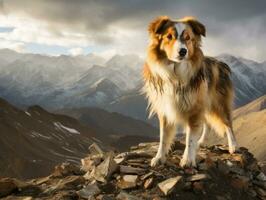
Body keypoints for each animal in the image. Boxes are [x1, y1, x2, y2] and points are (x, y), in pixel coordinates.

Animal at [142, 16, 238, 167]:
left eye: (188, 38)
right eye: (169, 36)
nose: (183, 51)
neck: (175, 72)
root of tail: (221, 63)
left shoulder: (194, 108)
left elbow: (189, 139)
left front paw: (187, 160)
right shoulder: (165, 107)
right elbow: (163, 137)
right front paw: (159, 157)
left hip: (219, 103)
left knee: (228, 124)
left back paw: (233, 146)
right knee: (207, 125)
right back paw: (201, 142)